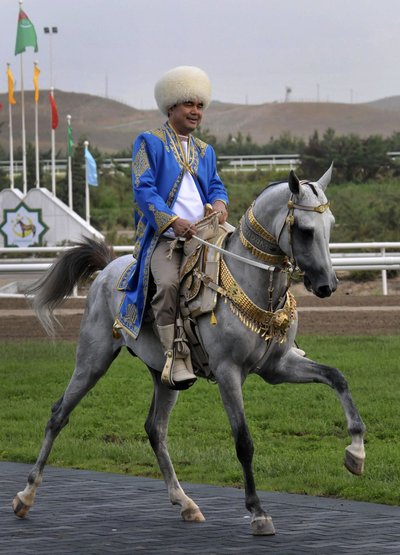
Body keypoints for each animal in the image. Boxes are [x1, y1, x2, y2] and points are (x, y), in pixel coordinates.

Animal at [13, 167, 366, 536]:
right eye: (306, 230)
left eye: (330, 225)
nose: (328, 285)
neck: (249, 280)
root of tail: (108, 268)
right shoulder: (228, 372)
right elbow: (244, 441)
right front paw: (258, 512)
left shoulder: (278, 366)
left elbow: (337, 378)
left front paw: (356, 453)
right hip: (92, 359)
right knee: (58, 414)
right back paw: (25, 496)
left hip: (166, 376)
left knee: (155, 429)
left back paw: (185, 503)